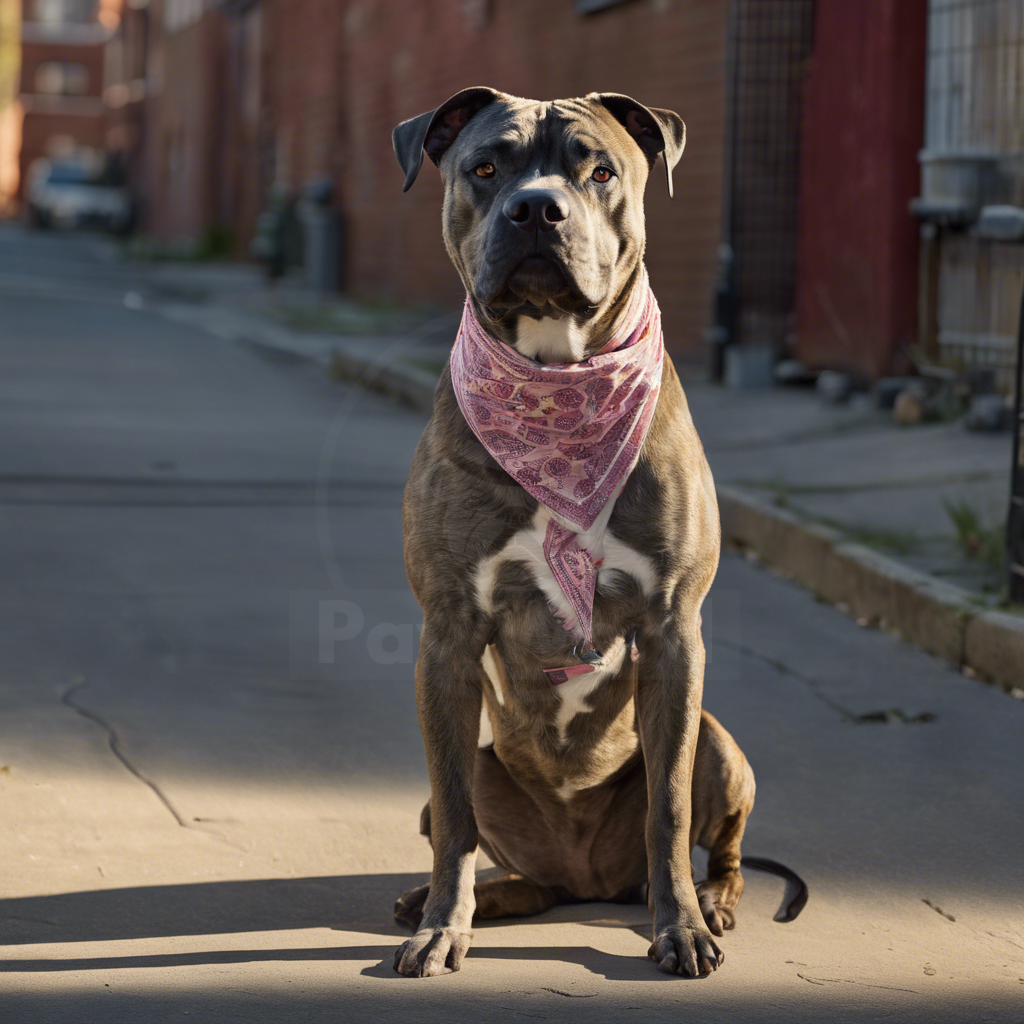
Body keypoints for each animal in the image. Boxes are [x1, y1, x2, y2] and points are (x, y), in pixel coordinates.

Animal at [387, 92, 794, 978]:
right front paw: (440, 928)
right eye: (485, 167)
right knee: (487, 847)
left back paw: (709, 901)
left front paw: (682, 930)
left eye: (599, 171)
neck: (557, 380)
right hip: (482, 784)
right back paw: (456, 900)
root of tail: (588, 879)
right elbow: (458, 823)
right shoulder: (446, 636)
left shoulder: (674, 633)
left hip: (720, 744)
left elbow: (668, 810)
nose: (537, 208)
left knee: (721, 848)